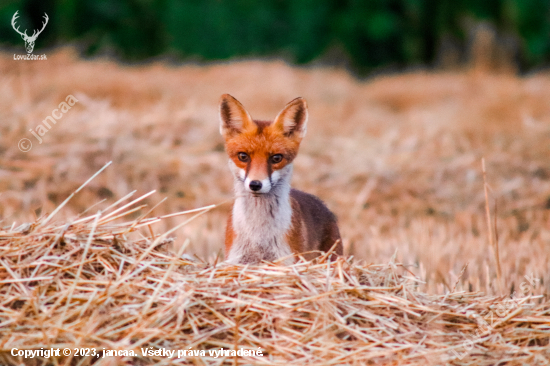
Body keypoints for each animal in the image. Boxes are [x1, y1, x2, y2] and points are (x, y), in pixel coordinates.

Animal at [219, 94, 340, 264]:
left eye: (276, 158)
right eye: (243, 156)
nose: (255, 184)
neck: (259, 235)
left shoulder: (285, 261)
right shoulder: (236, 261)